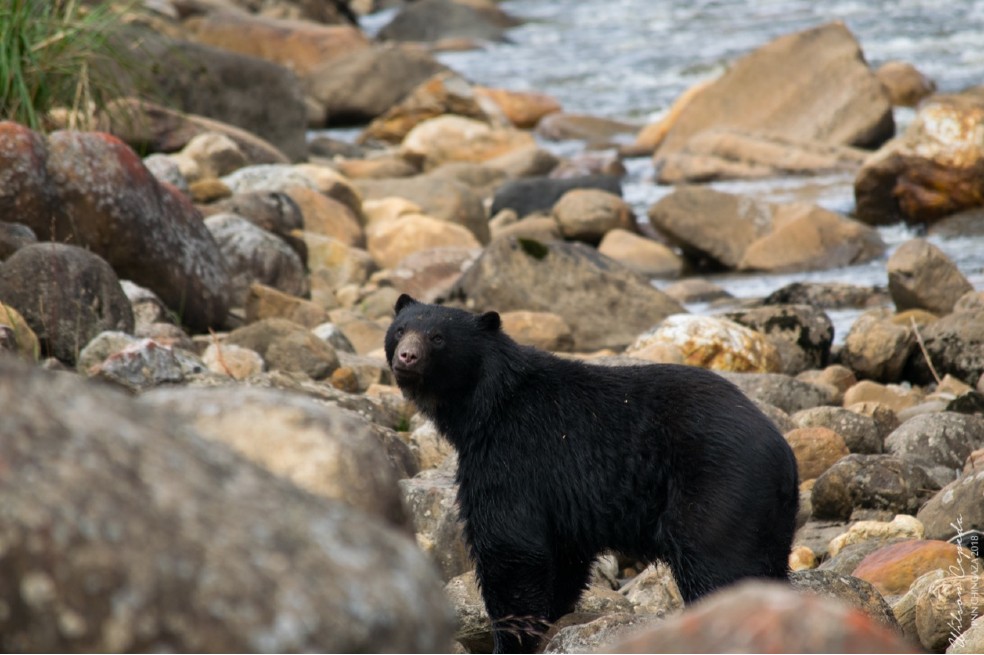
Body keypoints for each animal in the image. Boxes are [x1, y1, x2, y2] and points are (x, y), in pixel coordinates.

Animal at [385, 294, 799, 653]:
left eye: (438, 337)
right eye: (400, 329)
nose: (406, 356)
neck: (485, 405)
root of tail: (782, 452)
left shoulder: (512, 456)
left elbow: (510, 547)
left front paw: (510, 640)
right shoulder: (560, 499)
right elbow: (561, 557)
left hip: (716, 491)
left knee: (719, 566)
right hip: (765, 516)